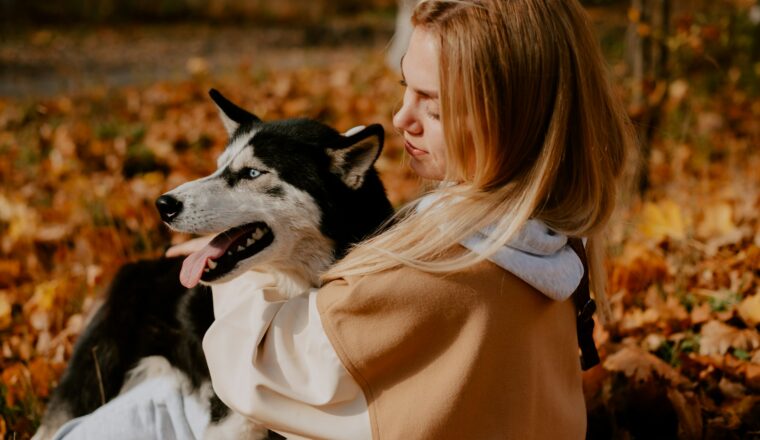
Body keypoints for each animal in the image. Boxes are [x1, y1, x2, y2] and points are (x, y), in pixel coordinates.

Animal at [34, 87, 392, 438]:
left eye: (252, 173)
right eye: (219, 167)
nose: (163, 204)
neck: (293, 291)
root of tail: (138, 267)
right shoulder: (230, 420)